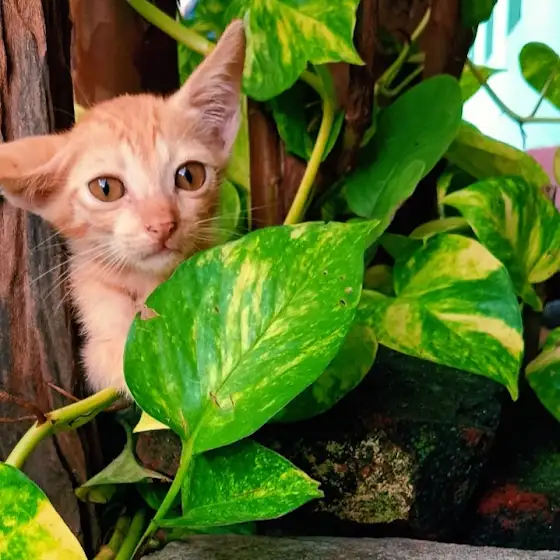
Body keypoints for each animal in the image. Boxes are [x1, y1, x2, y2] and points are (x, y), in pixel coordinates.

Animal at [0, 20, 246, 396]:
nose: (163, 224)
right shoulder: (91, 306)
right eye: (106, 188)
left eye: (190, 176)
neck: (151, 286)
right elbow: (118, 360)